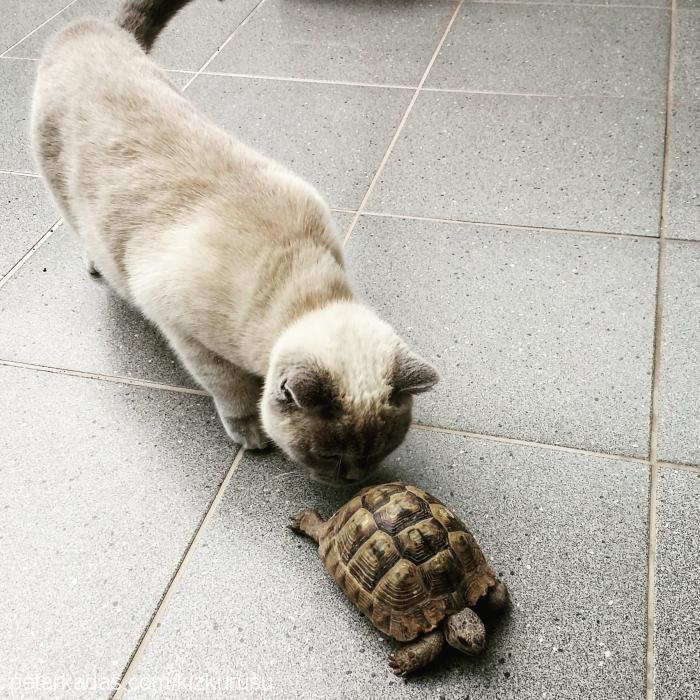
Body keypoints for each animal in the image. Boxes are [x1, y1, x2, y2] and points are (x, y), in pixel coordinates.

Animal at [32, 1, 438, 486]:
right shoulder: (192, 340)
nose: (353, 480)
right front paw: (250, 433)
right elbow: (234, 393)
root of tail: (91, 27)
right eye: (330, 456)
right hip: (63, 189)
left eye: (381, 450)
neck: (300, 288)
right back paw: (95, 265)